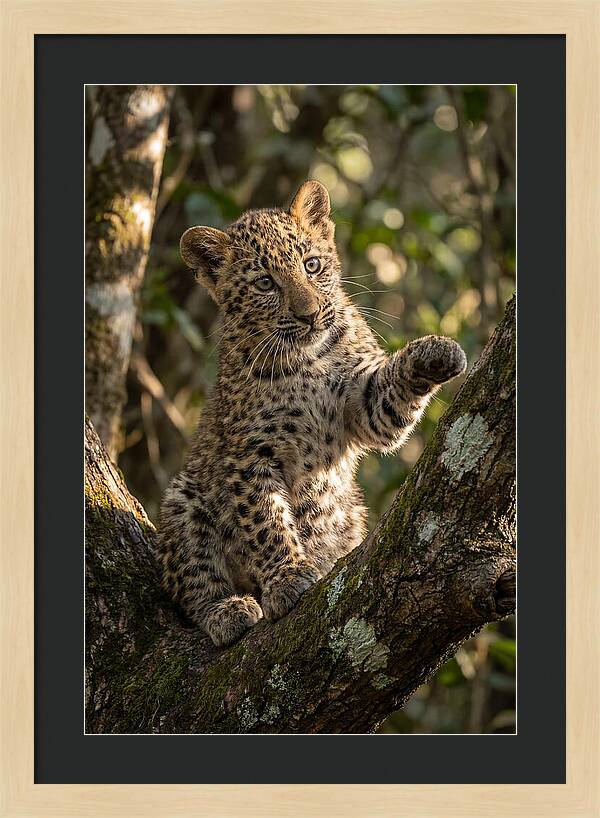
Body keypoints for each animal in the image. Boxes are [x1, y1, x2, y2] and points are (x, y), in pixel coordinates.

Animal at [157, 180, 467, 647]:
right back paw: (227, 610)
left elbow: (388, 397)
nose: (309, 314)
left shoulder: (363, 406)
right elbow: (266, 521)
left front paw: (436, 352)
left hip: (351, 513)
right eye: (265, 283)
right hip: (184, 499)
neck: (308, 360)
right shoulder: (250, 455)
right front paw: (287, 578)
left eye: (312, 264)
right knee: (192, 584)